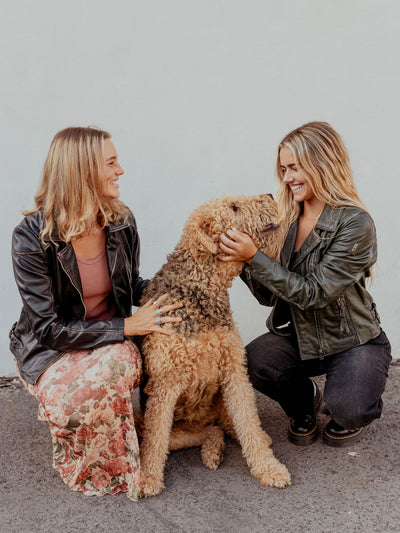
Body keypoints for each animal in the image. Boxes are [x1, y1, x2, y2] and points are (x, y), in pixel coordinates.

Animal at [139, 194, 292, 494]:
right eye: (234, 207)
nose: (269, 195)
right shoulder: (165, 385)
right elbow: (153, 441)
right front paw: (148, 478)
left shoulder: (234, 371)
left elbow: (248, 421)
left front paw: (268, 468)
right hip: (168, 425)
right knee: (197, 433)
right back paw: (213, 450)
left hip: (219, 403)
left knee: (228, 424)